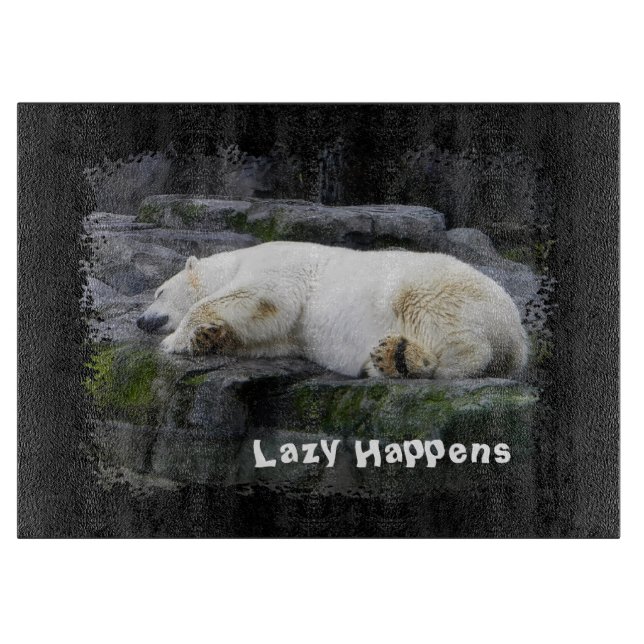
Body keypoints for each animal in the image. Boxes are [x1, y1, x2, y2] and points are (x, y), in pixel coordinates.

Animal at [137, 241, 528, 379]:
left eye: (158, 291)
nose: (141, 320)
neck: (234, 261)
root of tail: (518, 337)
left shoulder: (279, 266)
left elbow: (261, 295)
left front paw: (176, 340)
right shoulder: (288, 333)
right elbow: (266, 333)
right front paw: (208, 338)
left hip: (436, 288)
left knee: (455, 336)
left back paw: (398, 359)